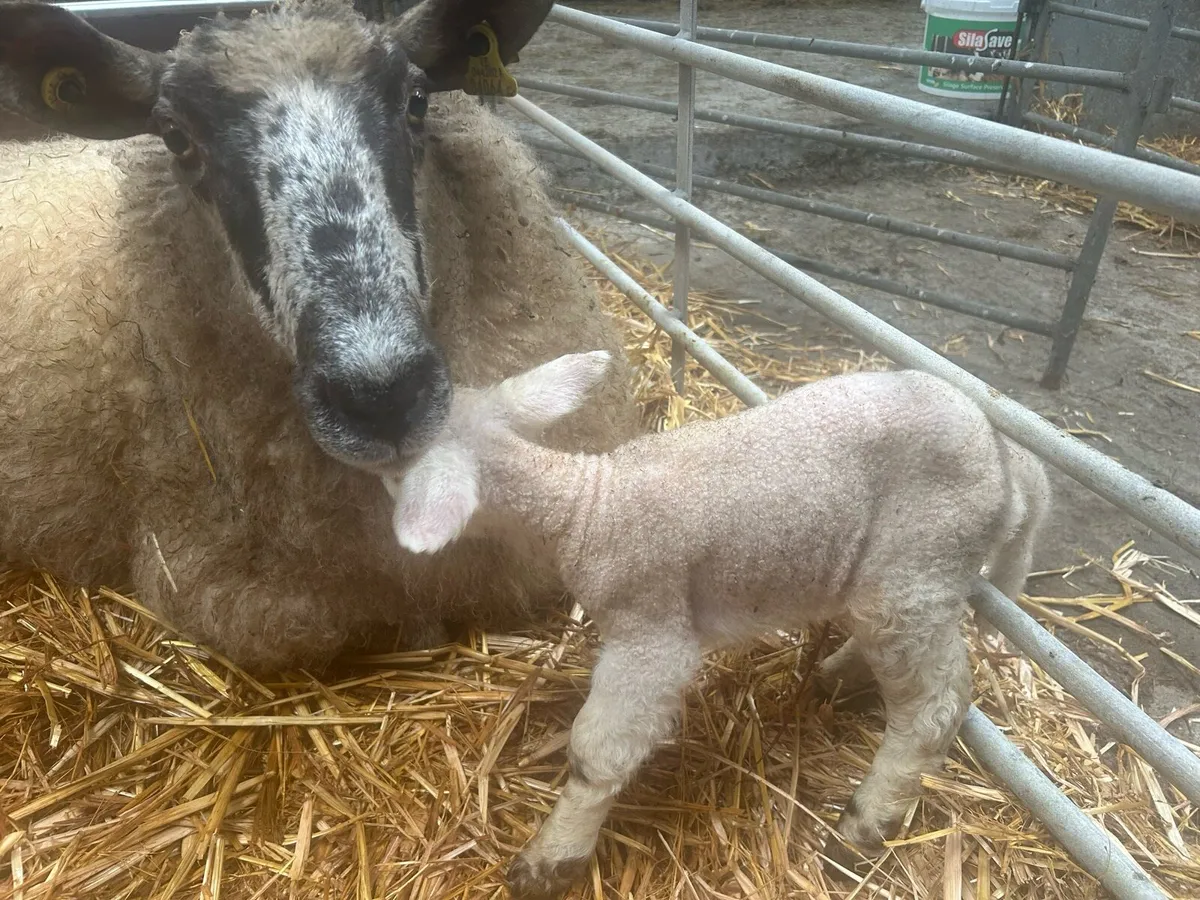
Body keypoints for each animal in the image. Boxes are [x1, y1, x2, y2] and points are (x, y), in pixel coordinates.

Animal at [384, 350, 1052, 900]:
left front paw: (552, 859)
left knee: (936, 707)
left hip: (918, 563)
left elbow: (597, 754)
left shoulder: (650, 635)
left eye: (397, 473)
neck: (587, 506)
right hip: (895, 580)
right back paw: (837, 677)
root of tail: (1009, 465)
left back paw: (864, 825)